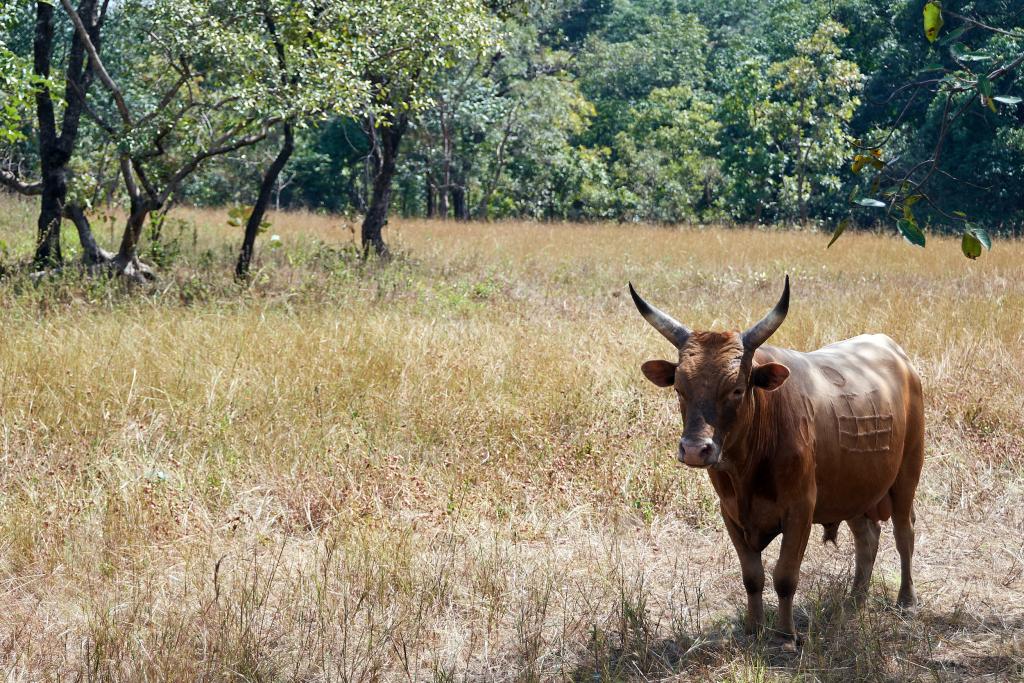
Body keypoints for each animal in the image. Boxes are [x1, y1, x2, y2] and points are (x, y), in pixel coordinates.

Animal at [626, 274, 925, 643]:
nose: (695, 449)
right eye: (680, 388)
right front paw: (753, 628)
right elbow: (752, 577)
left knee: (904, 532)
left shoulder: (800, 509)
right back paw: (855, 600)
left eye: (737, 389)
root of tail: (895, 353)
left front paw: (785, 636)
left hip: (907, 473)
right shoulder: (730, 512)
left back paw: (906, 601)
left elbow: (785, 577)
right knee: (867, 538)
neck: (747, 467)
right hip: (854, 487)